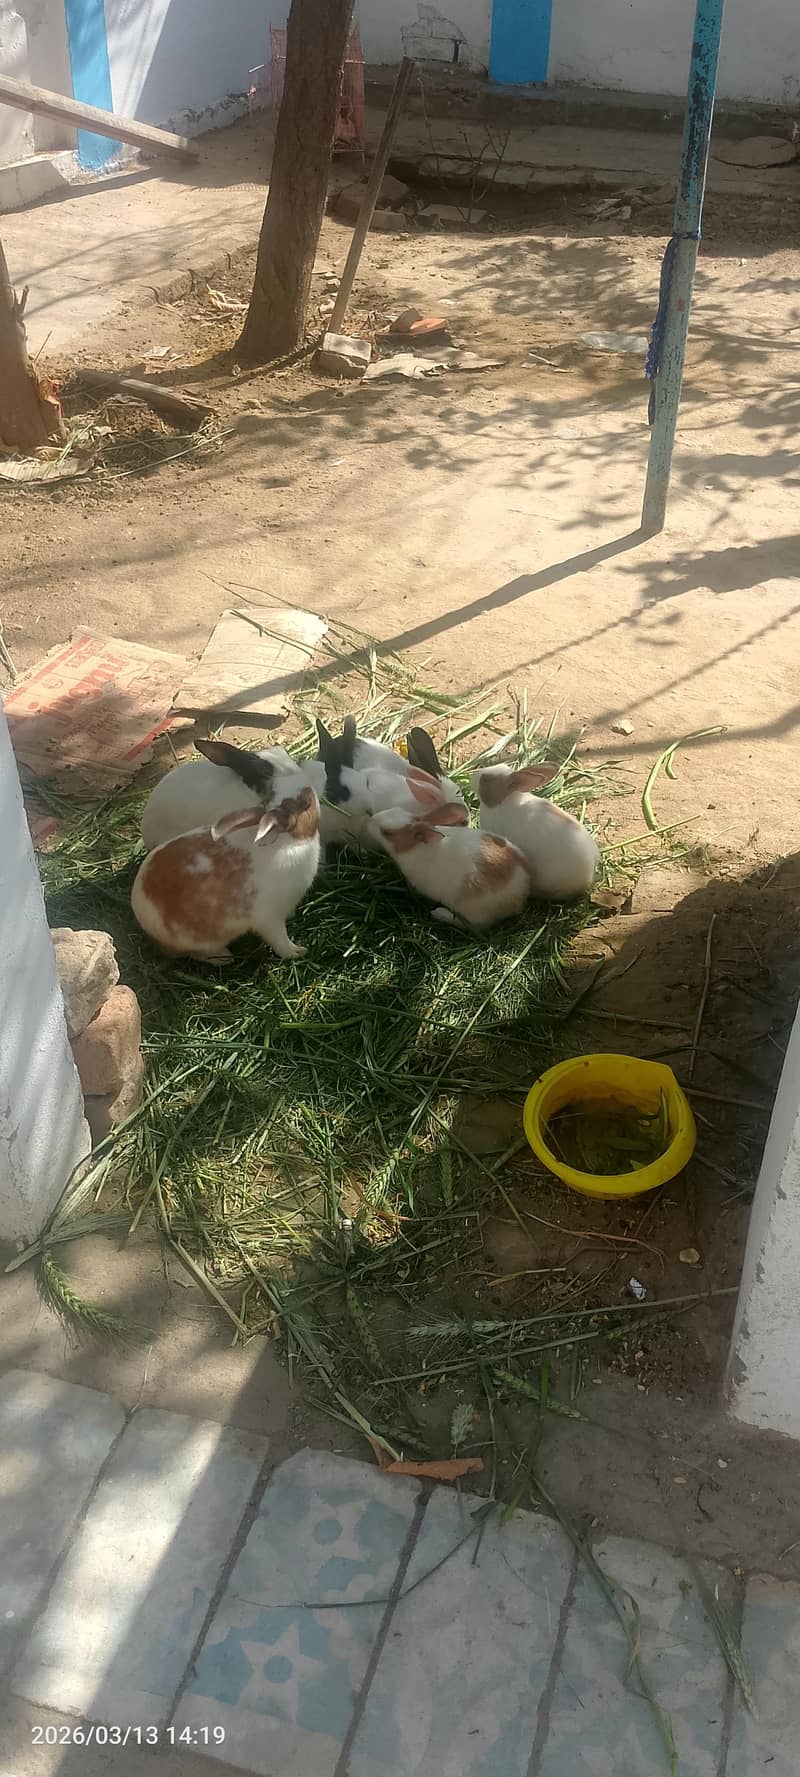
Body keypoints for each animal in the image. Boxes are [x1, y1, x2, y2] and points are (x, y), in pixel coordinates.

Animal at [131, 786, 320, 963]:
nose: (309, 789)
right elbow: (281, 941)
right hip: (199, 942)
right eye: (306, 804)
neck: (287, 841)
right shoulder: (270, 918)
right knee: (199, 954)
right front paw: (298, 952)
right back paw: (225, 958)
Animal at [368, 801, 531, 929]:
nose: (371, 819)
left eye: (386, 832)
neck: (414, 847)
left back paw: (439, 913)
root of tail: (521, 895)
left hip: (473, 911)